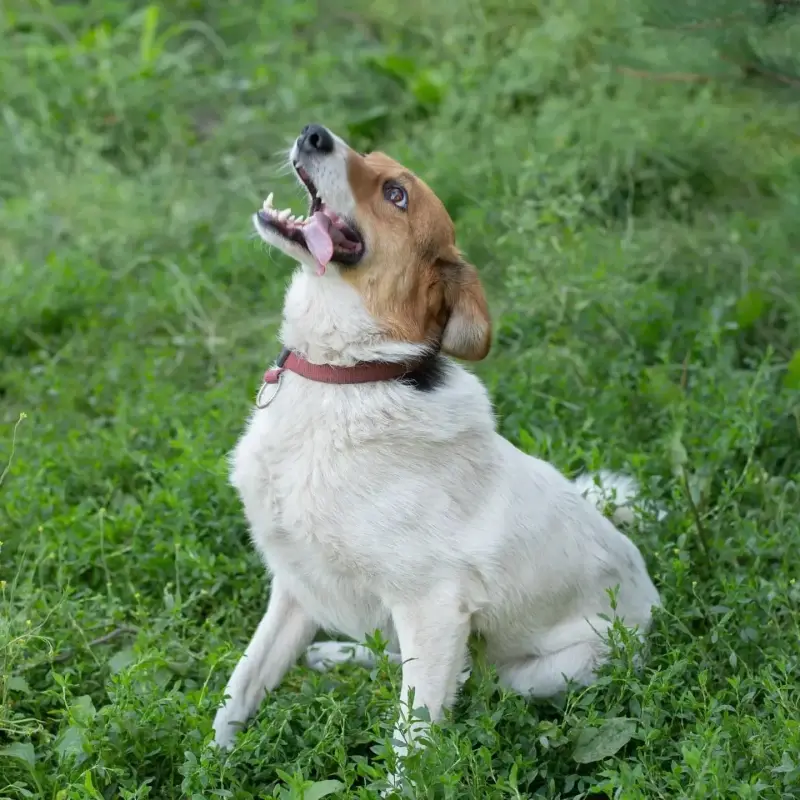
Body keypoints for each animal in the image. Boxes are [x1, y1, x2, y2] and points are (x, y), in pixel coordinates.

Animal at [211, 126, 664, 780]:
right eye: (368, 156)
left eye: (395, 194)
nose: (313, 133)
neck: (347, 376)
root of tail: (653, 609)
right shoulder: (295, 585)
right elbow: (240, 687)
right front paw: (211, 765)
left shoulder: (433, 605)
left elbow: (411, 741)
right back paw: (335, 655)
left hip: (543, 672)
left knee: (472, 684)